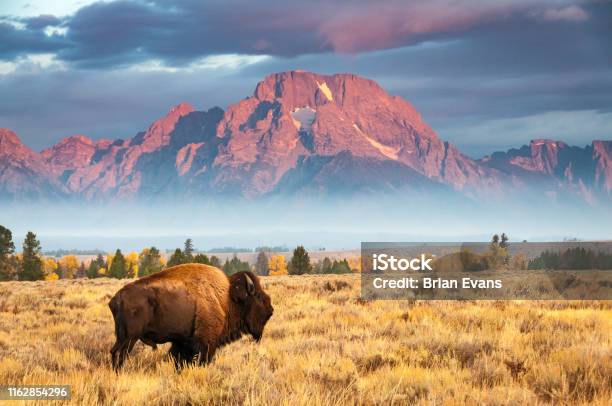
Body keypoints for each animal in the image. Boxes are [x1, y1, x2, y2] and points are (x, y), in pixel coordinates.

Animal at [108, 264, 274, 372]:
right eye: (259, 297)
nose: (271, 310)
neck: (227, 298)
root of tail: (116, 299)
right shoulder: (206, 343)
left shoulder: (182, 342)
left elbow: (178, 360)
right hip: (130, 338)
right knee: (120, 354)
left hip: (122, 337)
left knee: (114, 352)